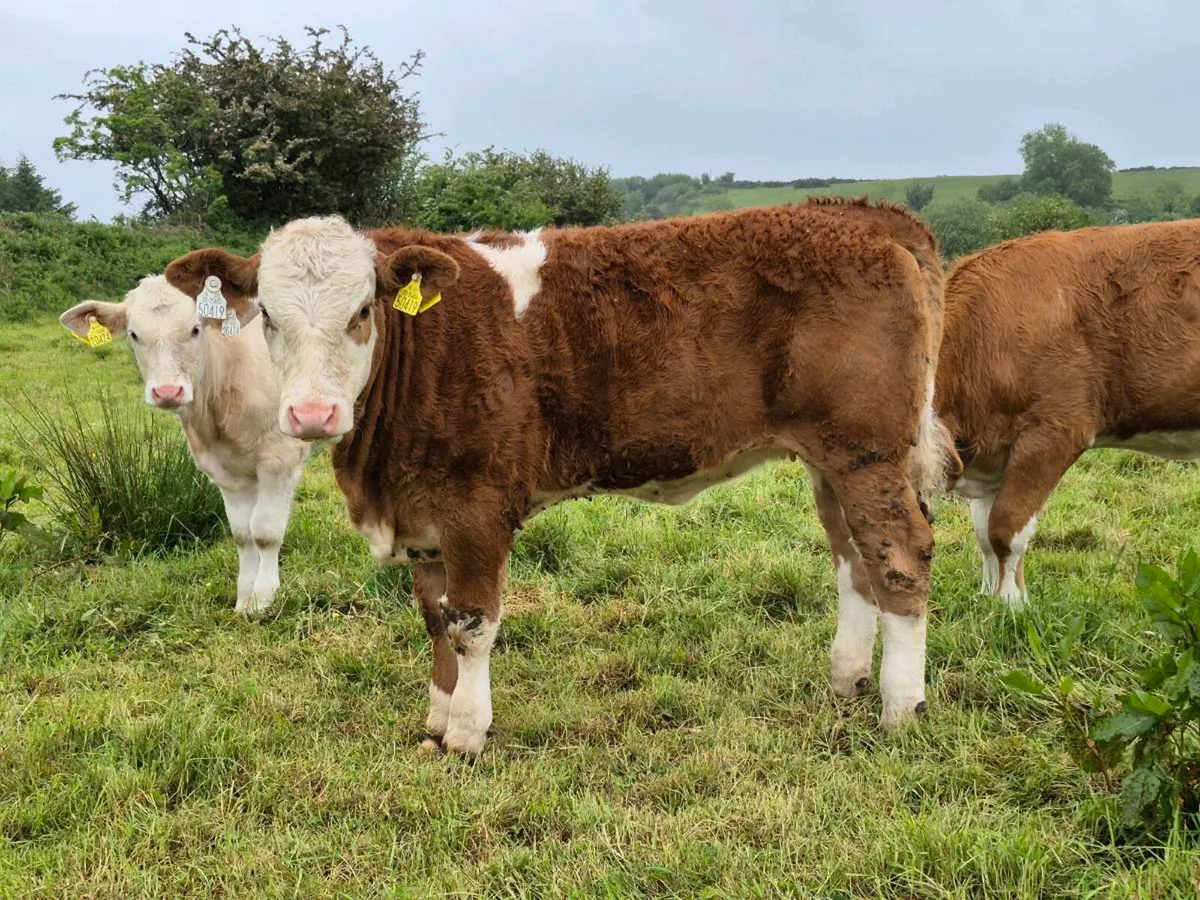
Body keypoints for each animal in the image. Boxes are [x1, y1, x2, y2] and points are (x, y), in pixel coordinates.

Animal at [60, 275, 311, 614]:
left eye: (195, 329)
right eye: (134, 334)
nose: (168, 391)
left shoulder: (279, 457)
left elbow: (265, 533)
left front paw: (262, 600)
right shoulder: (225, 471)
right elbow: (242, 534)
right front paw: (243, 599)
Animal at [165, 199, 951, 753]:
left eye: (363, 310)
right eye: (267, 315)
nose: (311, 413)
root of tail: (859, 213)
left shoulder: (476, 504)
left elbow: (471, 623)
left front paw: (467, 734)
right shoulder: (423, 510)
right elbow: (433, 618)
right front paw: (436, 719)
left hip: (867, 452)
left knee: (901, 558)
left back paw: (900, 708)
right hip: (830, 459)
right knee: (854, 561)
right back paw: (847, 679)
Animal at [936, 218, 1200, 606]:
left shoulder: (1052, 433)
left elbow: (1005, 528)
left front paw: (1012, 606)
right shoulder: (991, 450)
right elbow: (984, 535)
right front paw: (987, 598)